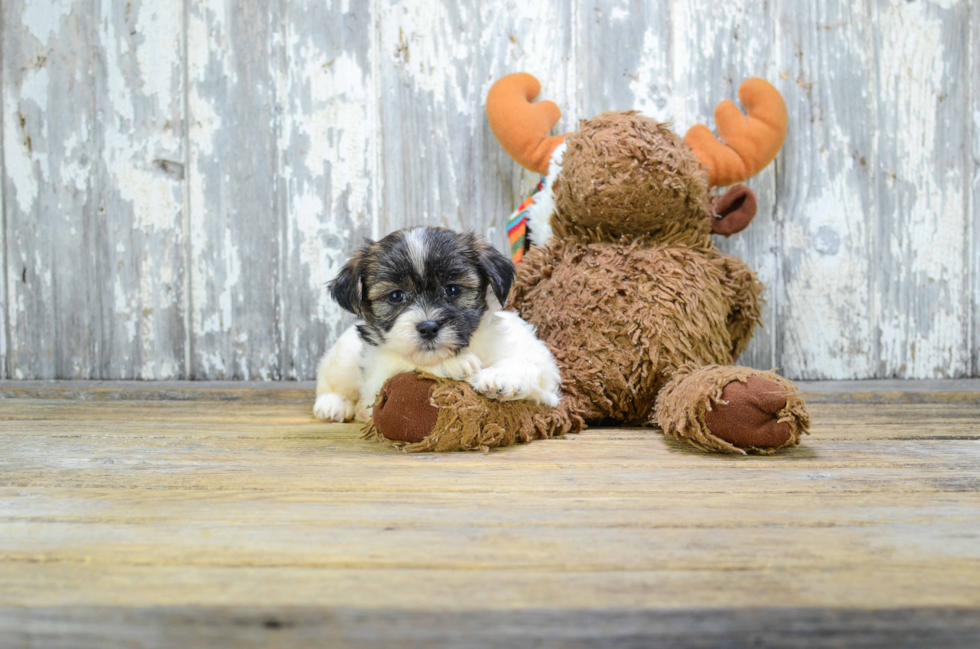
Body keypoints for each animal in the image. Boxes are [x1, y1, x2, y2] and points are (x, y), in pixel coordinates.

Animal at [314, 225, 560, 422]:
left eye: (452, 289)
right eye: (395, 296)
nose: (428, 327)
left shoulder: (545, 377)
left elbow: (530, 365)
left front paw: (501, 376)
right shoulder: (377, 376)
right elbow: (405, 364)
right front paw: (455, 364)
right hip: (344, 359)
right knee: (329, 379)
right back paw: (333, 404)